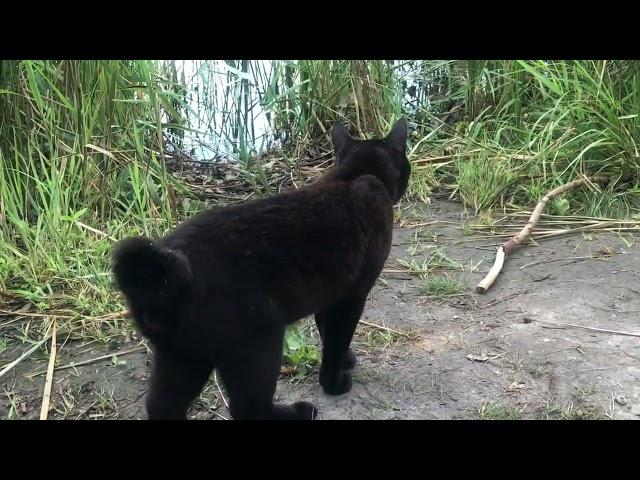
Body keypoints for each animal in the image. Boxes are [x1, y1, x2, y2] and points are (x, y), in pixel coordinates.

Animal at [112, 118, 412, 418]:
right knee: (250, 407)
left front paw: (346, 360)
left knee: (162, 405)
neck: (353, 175)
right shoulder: (352, 295)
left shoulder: (331, 292)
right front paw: (334, 381)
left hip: (184, 355)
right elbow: (337, 340)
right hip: (259, 340)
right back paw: (299, 412)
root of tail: (161, 274)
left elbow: (326, 329)